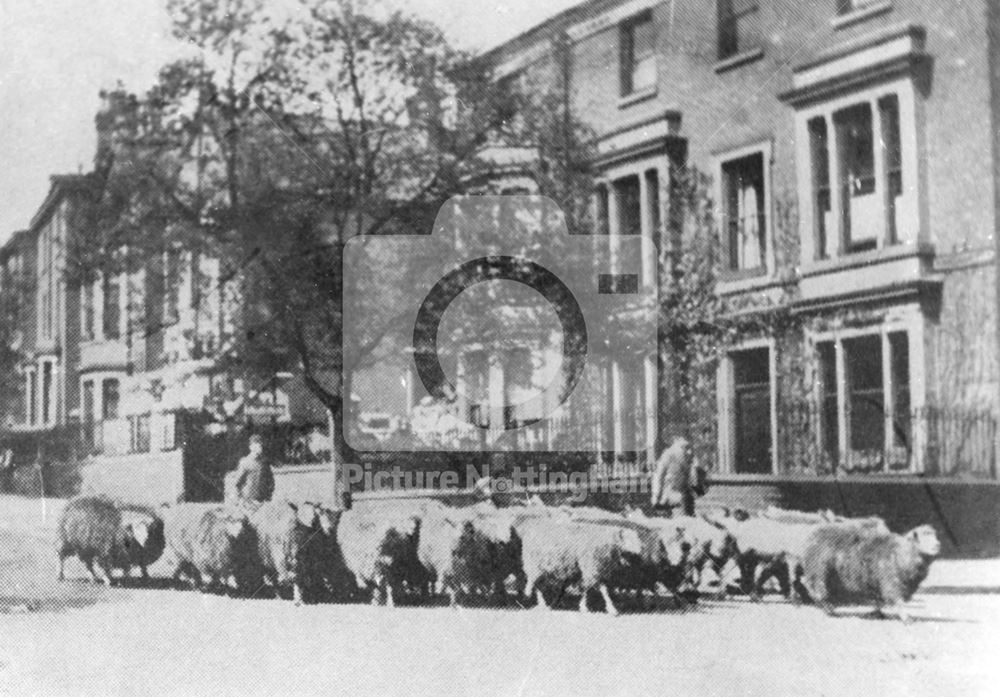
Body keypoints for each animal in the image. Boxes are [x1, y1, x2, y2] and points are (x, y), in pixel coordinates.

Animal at [512, 512, 644, 616]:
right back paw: (538, 601)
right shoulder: (591, 567)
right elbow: (598, 589)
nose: (640, 552)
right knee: (535, 585)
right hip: (535, 565)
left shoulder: (595, 569)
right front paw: (607, 609)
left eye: (637, 539)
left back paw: (549, 604)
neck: (608, 542)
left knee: (539, 585)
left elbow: (594, 588)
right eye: (629, 539)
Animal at [800, 520, 940, 624]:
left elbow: (879, 600)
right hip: (819, 572)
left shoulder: (879, 583)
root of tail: (812, 536)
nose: (938, 545)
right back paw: (829, 609)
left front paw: (877, 614)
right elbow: (897, 601)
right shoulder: (891, 583)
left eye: (934, 535)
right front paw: (907, 618)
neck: (902, 553)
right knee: (815, 588)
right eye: (924, 536)